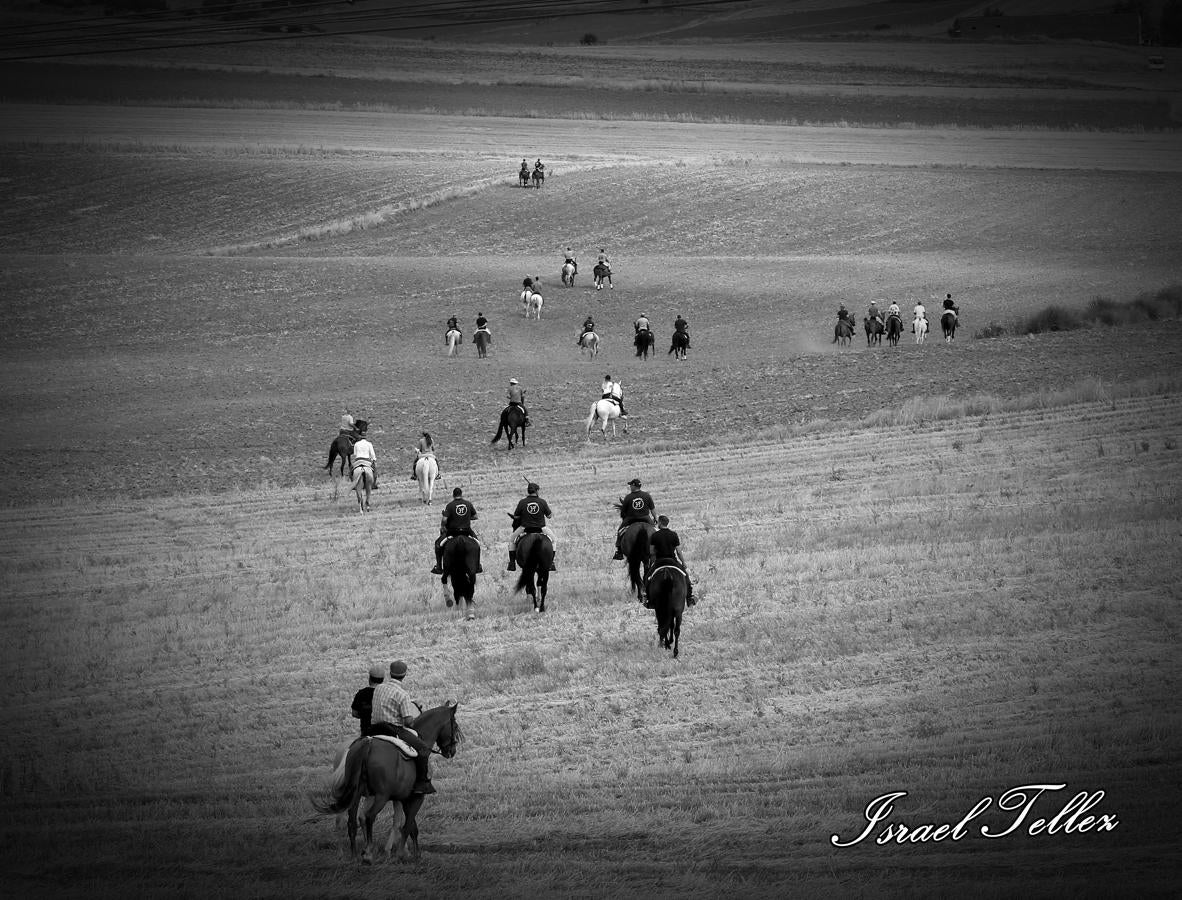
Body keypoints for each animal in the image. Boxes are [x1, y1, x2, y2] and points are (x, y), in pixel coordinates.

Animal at [314, 700, 460, 865]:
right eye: (455, 726)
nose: (452, 751)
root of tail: (367, 743)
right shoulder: (416, 797)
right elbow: (407, 825)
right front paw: (402, 853)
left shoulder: (402, 798)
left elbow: (407, 826)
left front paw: (409, 853)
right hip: (381, 796)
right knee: (368, 816)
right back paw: (368, 854)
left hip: (355, 794)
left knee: (351, 820)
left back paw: (354, 855)